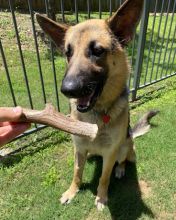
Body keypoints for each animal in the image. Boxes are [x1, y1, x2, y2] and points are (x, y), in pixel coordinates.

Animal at [36, 0, 157, 211]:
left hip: (125, 147)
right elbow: (77, 173)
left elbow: (104, 177)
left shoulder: (110, 153)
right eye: (68, 53)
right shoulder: (78, 149)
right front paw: (72, 192)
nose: (67, 90)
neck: (96, 114)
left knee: (123, 160)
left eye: (98, 51)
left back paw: (120, 169)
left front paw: (101, 198)